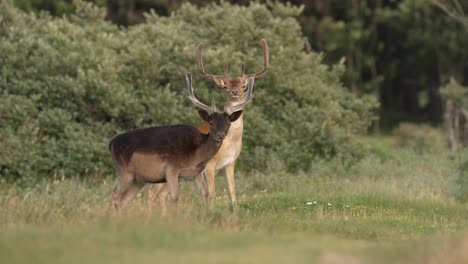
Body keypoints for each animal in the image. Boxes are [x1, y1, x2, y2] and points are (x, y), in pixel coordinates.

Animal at [108, 72, 254, 210]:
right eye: (211, 122)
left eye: (228, 123)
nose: (220, 135)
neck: (197, 151)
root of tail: (111, 143)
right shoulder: (171, 169)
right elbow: (175, 197)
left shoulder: (196, 173)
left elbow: (205, 193)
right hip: (124, 172)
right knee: (116, 194)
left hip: (138, 179)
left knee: (124, 200)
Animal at [194, 38, 268, 210]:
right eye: (225, 86)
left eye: (243, 86)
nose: (235, 92)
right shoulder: (209, 165)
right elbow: (212, 194)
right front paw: (212, 212)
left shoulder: (230, 163)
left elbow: (232, 191)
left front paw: (236, 212)